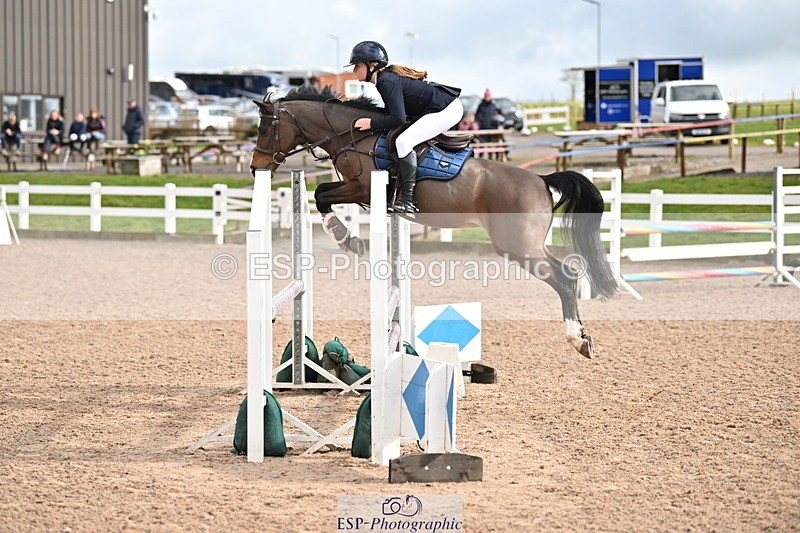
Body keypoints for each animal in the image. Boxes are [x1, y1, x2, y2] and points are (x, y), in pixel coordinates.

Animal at [250, 86, 618, 358]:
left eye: (266, 128)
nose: (255, 167)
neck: (356, 136)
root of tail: (541, 180)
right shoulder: (357, 189)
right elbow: (322, 193)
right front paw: (347, 237)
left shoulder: (362, 188)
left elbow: (322, 194)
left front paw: (347, 238)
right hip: (525, 245)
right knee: (567, 273)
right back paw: (581, 336)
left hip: (518, 246)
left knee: (565, 278)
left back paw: (578, 339)